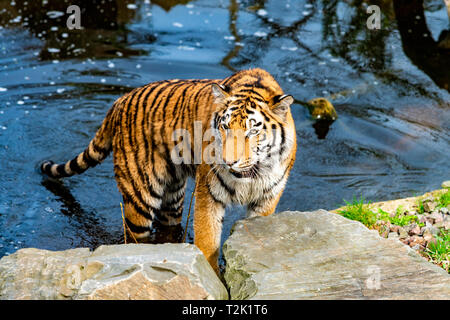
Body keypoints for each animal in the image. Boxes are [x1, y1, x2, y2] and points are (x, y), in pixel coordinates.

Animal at [40, 67, 298, 272]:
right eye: (225, 127)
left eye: (253, 131)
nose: (228, 162)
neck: (253, 174)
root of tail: (120, 101)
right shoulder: (209, 195)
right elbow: (207, 244)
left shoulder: (266, 200)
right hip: (140, 198)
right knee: (135, 237)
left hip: (172, 197)